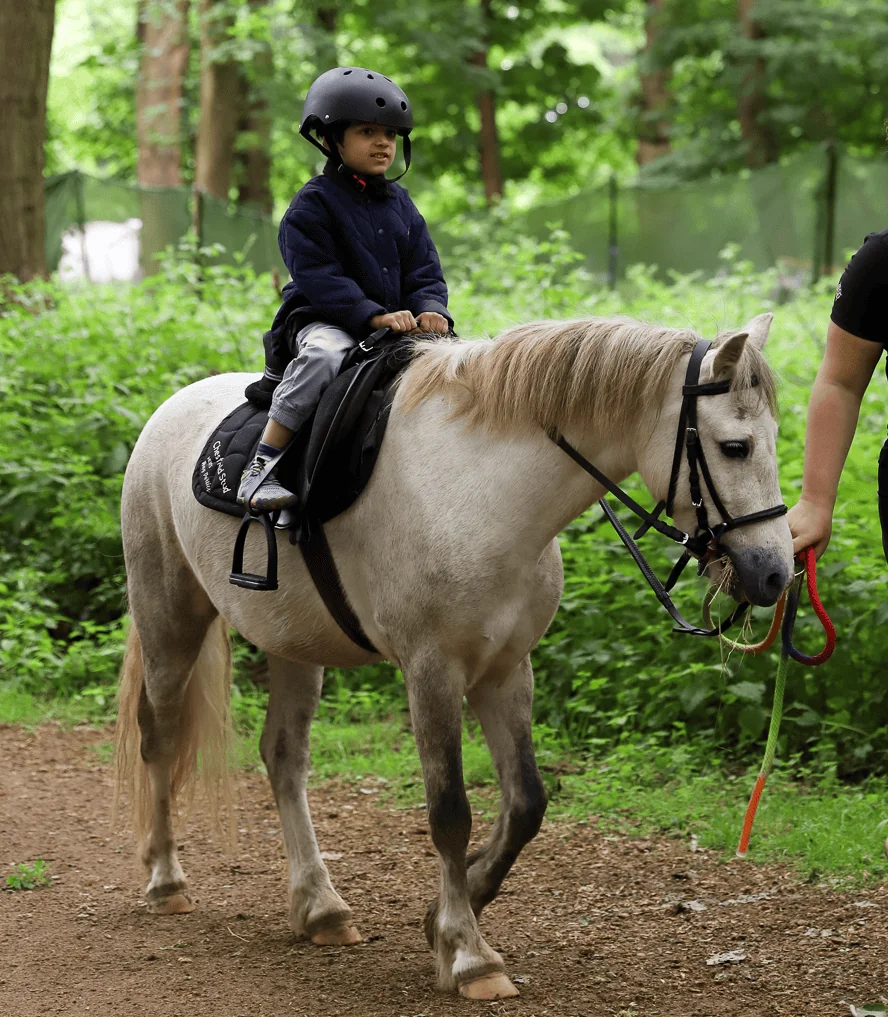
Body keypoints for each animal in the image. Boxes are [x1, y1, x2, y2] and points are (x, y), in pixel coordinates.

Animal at [115, 312, 793, 1000]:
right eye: (735, 447)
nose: (773, 573)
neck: (484, 494)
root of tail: (172, 408)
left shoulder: (506, 671)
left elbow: (525, 804)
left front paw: (444, 915)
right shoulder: (432, 672)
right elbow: (449, 813)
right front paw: (468, 954)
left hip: (294, 645)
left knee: (283, 759)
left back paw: (321, 907)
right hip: (170, 618)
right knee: (159, 736)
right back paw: (166, 880)